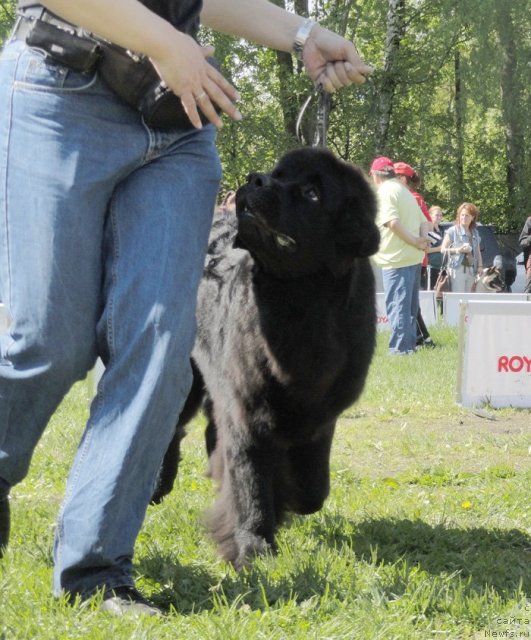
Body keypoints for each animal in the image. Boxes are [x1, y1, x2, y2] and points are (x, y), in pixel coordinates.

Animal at [152, 148, 380, 568]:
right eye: (278, 172)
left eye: (311, 193)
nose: (255, 179)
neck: (300, 305)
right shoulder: (249, 408)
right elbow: (252, 480)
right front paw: (253, 546)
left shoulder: (321, 414)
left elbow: (312, 490)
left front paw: (284, 505)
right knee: (170, 427)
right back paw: (159, 485)